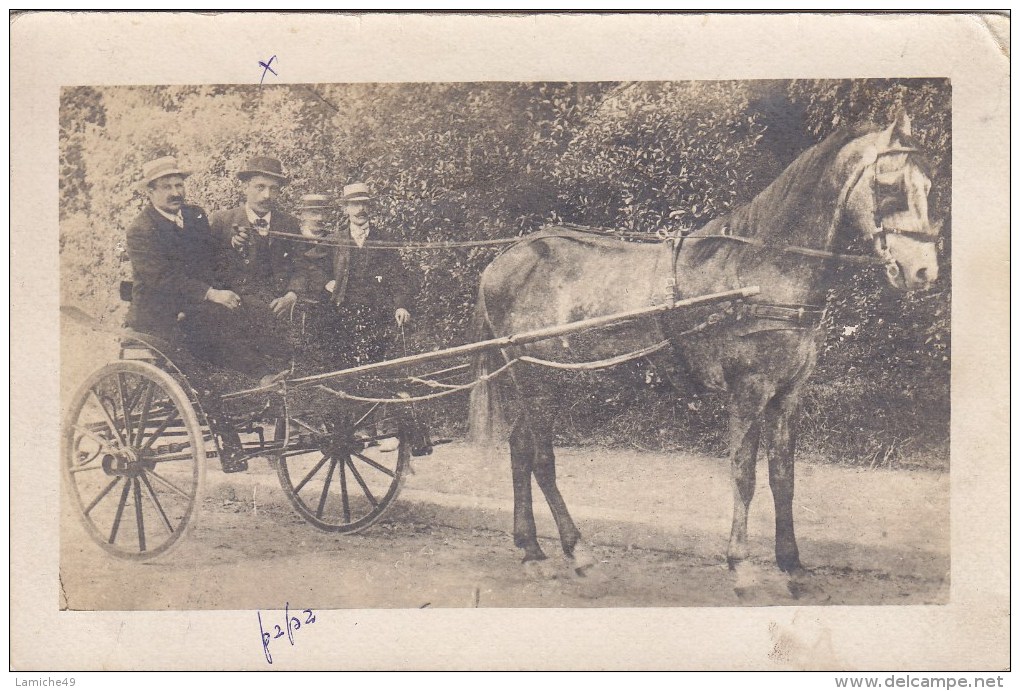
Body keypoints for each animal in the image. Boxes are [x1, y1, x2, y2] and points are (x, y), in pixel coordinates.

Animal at [467, 110, 938, 579]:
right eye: (889, 186)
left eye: (929, 186)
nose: (924, 272)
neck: (764, 270)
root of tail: (503, 260)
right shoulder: (748, 388)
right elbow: (744, 474)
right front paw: (740, 562)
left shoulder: (788, 393)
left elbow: (783, 477)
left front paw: (790, 561)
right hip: (531, 373)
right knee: (542, 457)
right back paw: (576, 548)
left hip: (535, 375)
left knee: (519, 448)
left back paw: (530, 546)